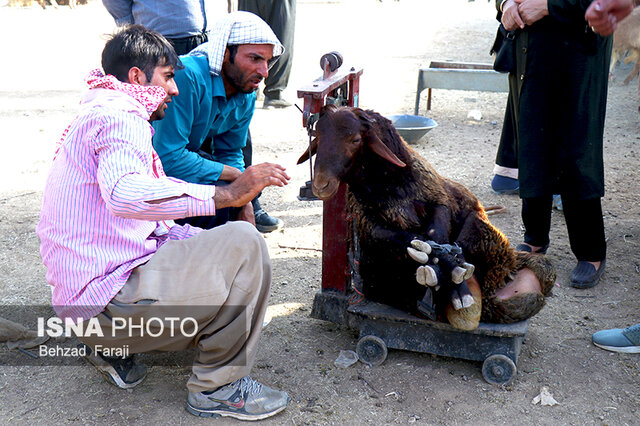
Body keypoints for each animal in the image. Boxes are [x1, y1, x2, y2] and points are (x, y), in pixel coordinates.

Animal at [300, 105, 556, 332]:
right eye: (318, 136)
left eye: (355, 140)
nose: (321, 185)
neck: (391, 187)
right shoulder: (369, 224)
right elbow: (414, 238)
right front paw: (437, 266)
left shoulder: (439, 200)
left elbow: (436, 236)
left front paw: (456, 281)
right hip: (380, 278)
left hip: (481, 231)